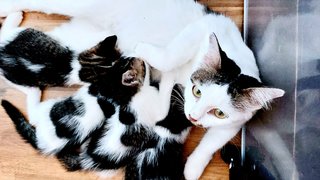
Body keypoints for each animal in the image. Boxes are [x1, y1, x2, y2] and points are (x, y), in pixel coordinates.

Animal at [0, 0, 284, 179]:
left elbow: (214, 140)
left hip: (78, 42)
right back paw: (8, 9)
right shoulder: (206, 27)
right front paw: (147, 51)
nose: (193, 117)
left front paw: (193, 168)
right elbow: (172, 54)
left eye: (219, 112)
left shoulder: (238, 121)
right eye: (198, 91)